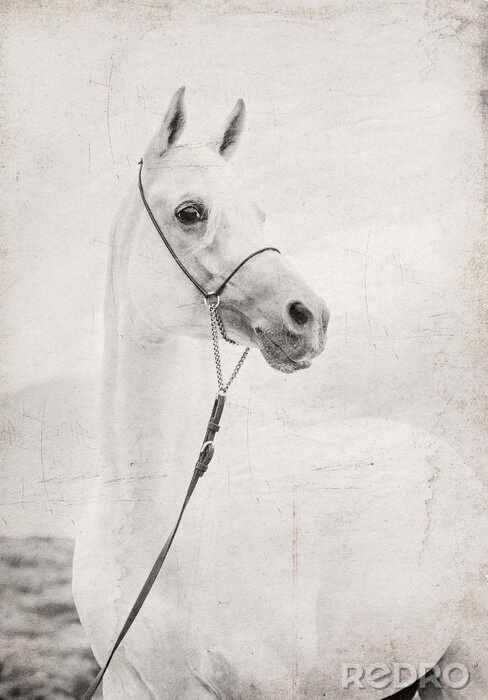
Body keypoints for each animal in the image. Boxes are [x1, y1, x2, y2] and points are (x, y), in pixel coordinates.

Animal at [72, 87, 487, 699]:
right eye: (190, 212)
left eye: (259, 214)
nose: (309, 318)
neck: (154, 518)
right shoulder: (128, 684)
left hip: (466, 671)